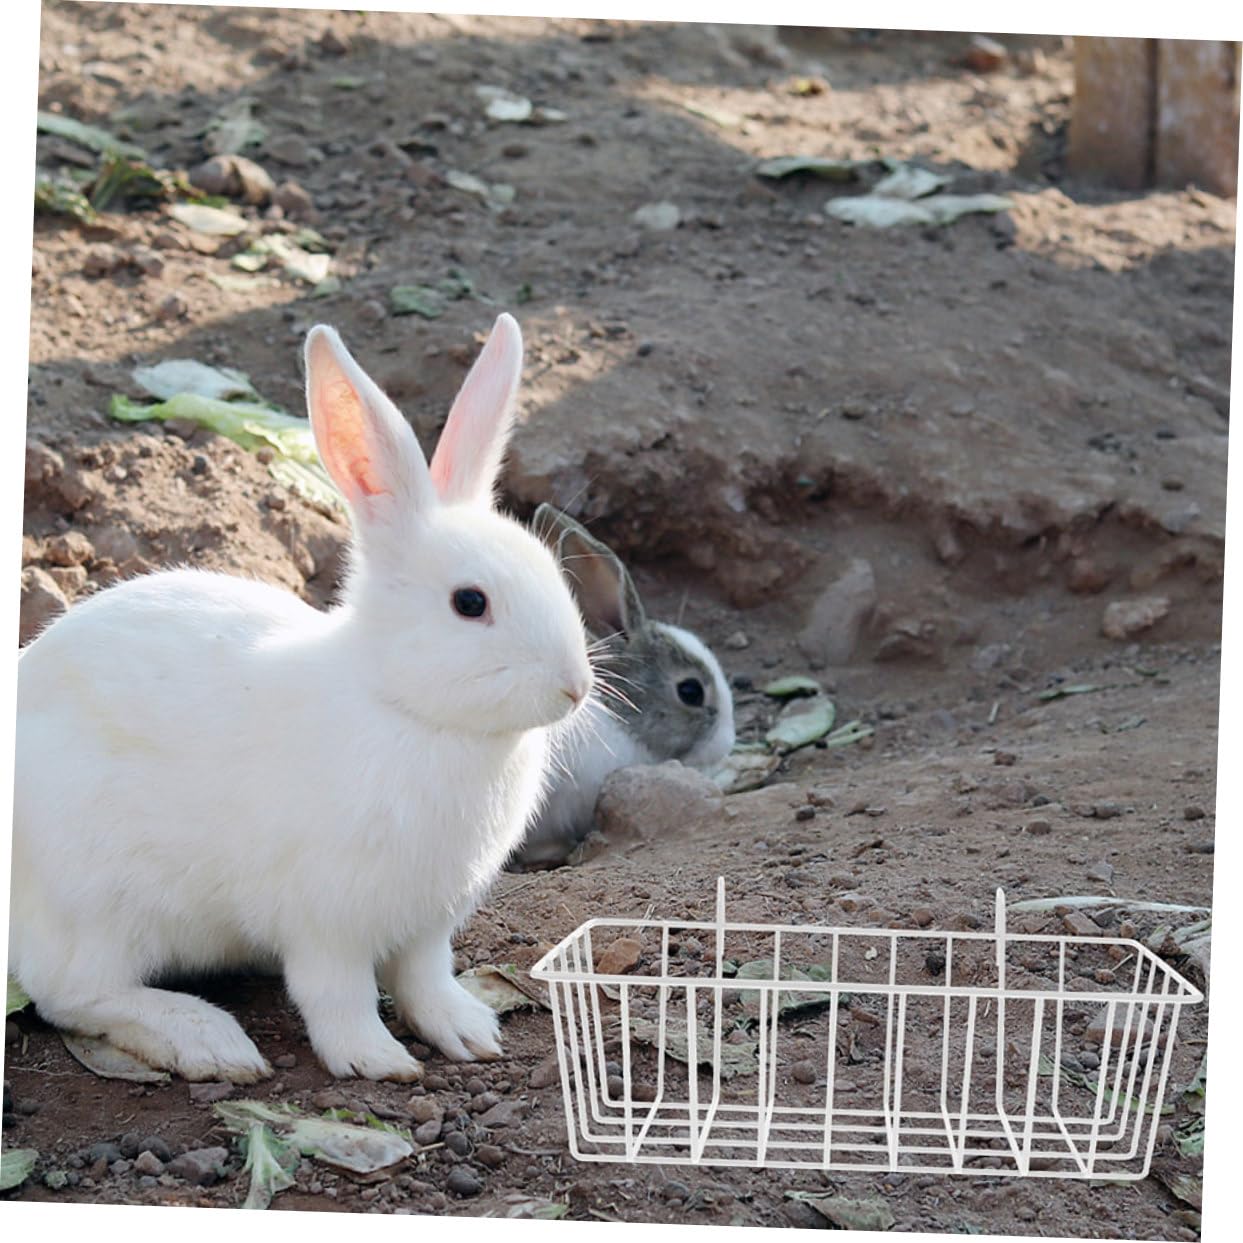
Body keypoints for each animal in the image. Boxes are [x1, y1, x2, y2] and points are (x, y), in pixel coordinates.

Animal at [8, 314, 595, 1083]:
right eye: (470, 603)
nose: (575, 686)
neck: (403, 707)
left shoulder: (427, 923)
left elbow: (424, 979)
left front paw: (469, 1034)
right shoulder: (327, 921)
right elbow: (336, 994)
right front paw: (377, 1060)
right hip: (99, 898)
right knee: (70, 991)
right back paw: (208, 1041)